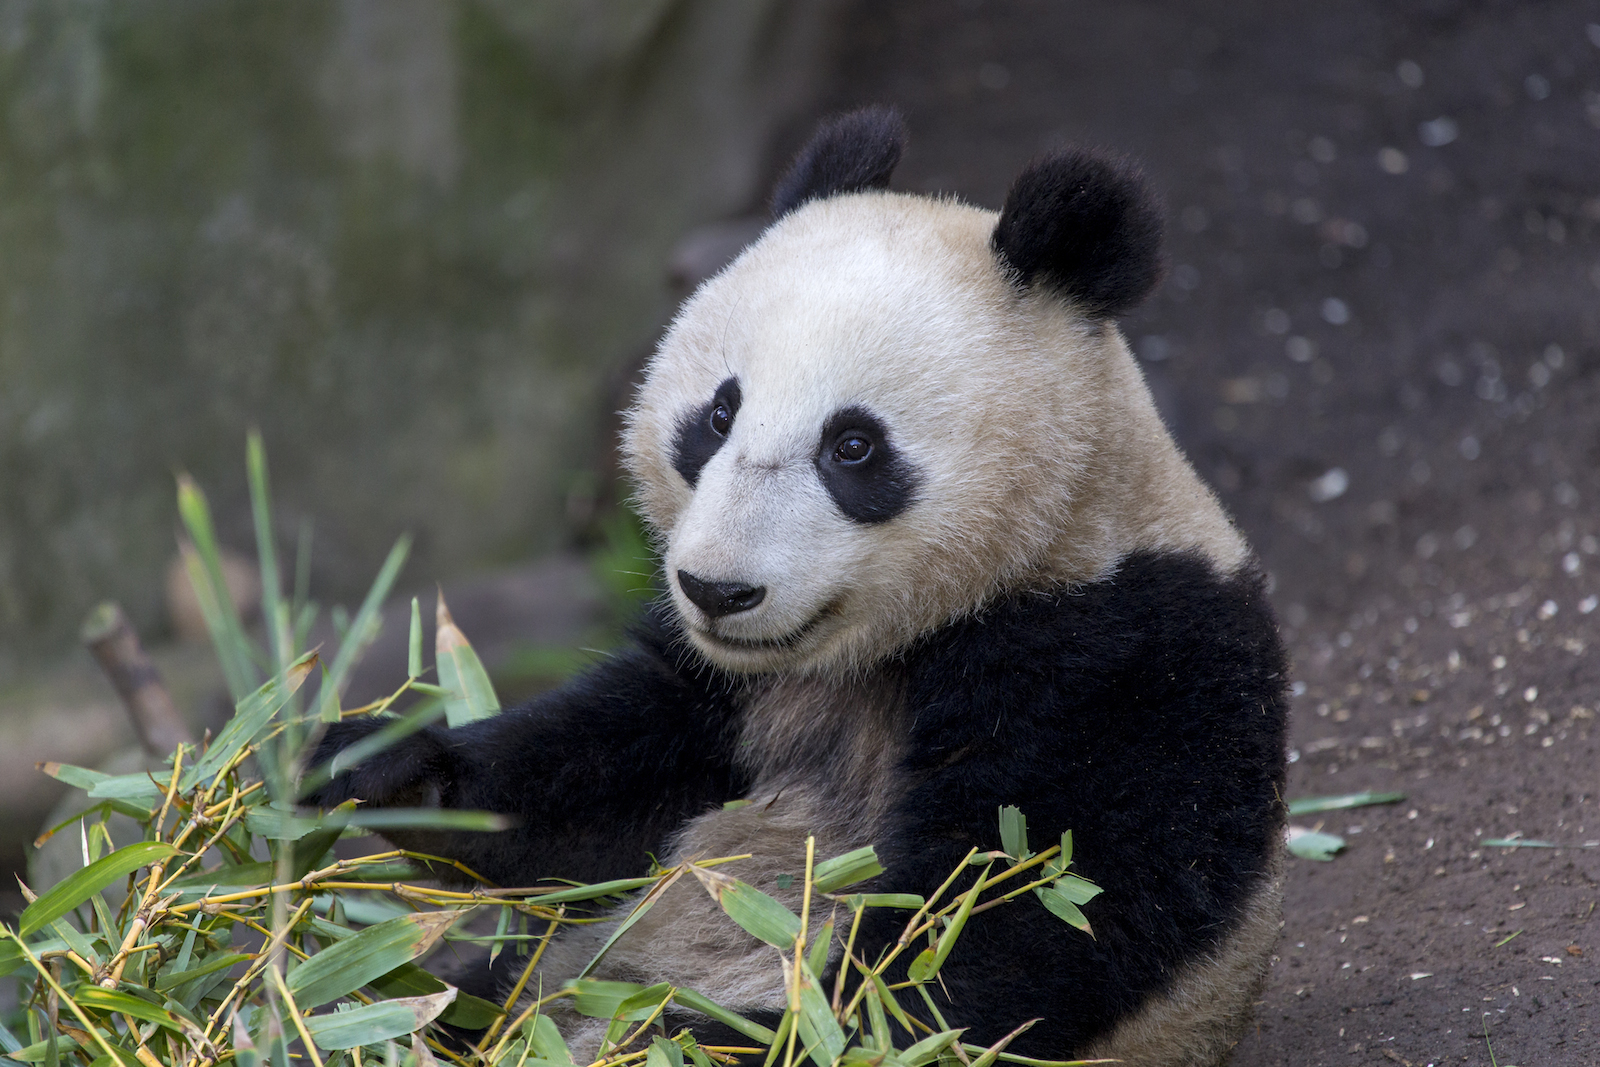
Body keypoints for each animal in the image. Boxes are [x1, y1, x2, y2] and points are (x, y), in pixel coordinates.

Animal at [308, 106, 1286, 1067]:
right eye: (717, 414)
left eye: (853, 446)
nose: (717, 589)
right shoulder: (722, 690)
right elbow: (598, 791)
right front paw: (376, 766)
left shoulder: (1127, 652)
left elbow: (1003, 922)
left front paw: (702, 1036)